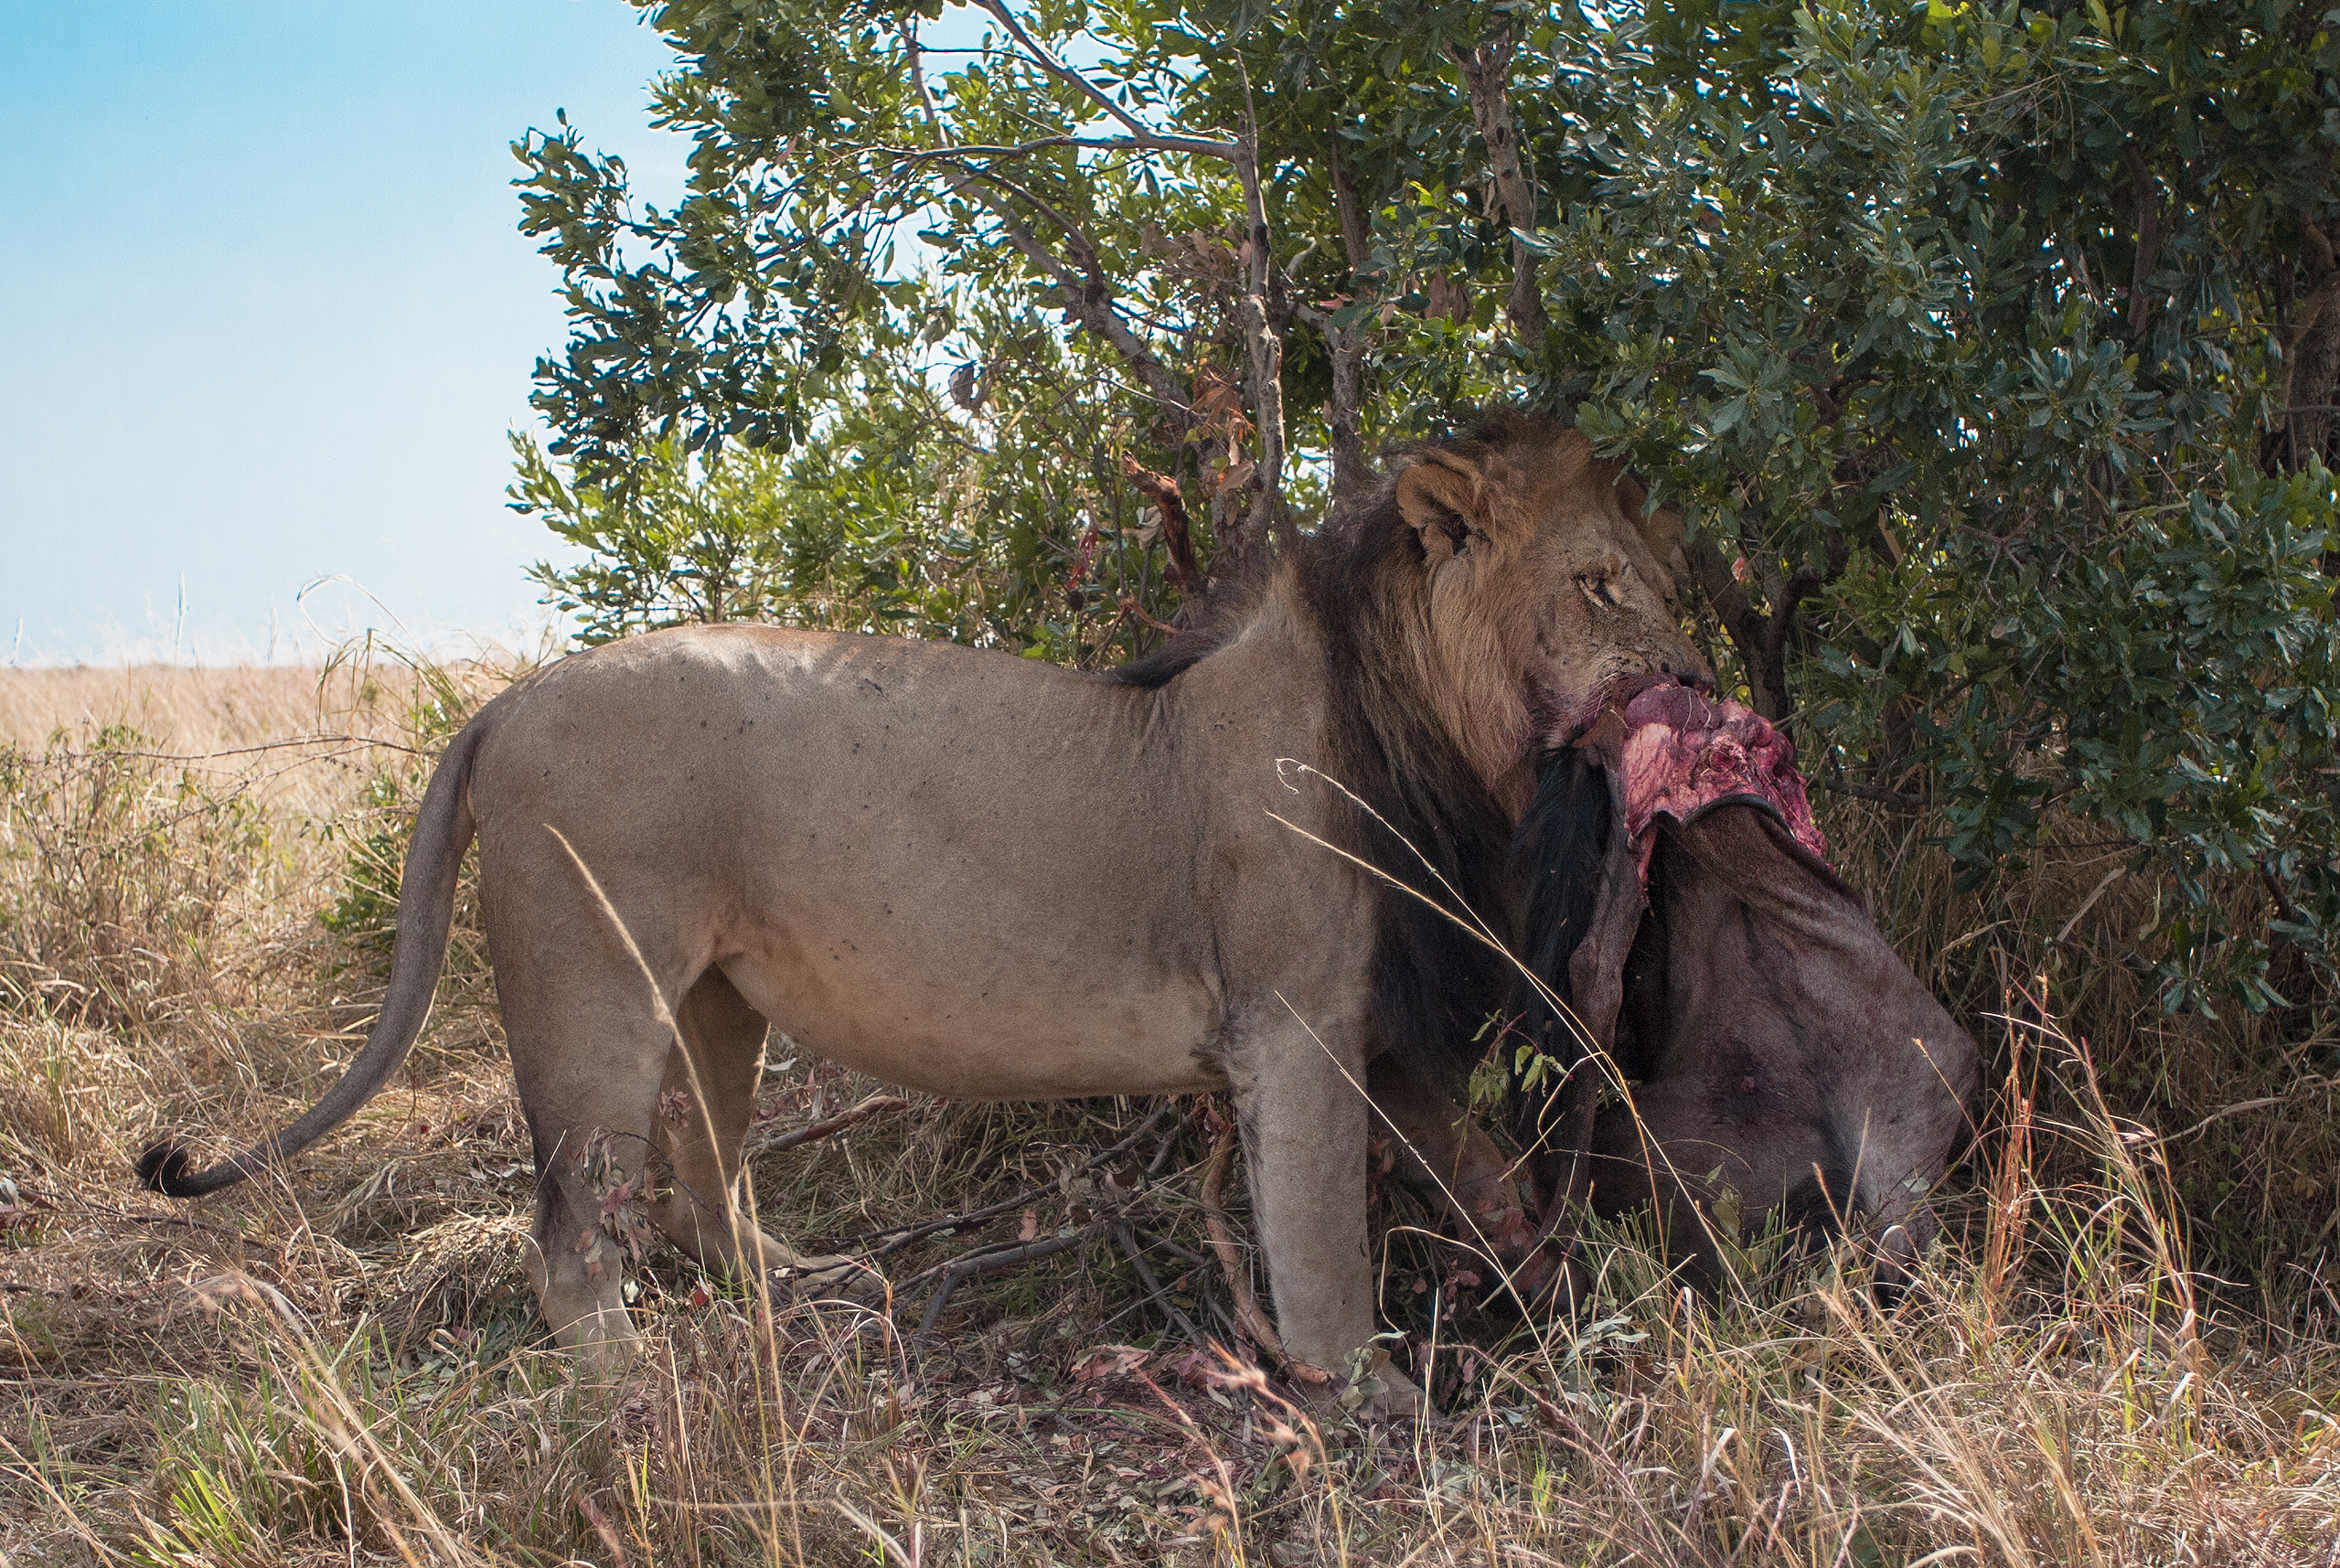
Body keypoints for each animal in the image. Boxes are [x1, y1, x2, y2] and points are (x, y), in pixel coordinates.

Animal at [145, 409, 1703, 1413]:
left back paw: (792, 1282)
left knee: (702, 1166)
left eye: (1666, 584)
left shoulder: (1388, 1022)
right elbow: (1321, 1234)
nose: (1694, 677)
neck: (1442, 742)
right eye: (1596, 585)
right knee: (573, 1219)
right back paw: (629, 1388)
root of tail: (506, 698)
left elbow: (1484, 1184)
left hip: (714, 996)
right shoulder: (1298, 1023)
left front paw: (1570, 1301)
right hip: (592, 986)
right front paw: (1362, 1392)